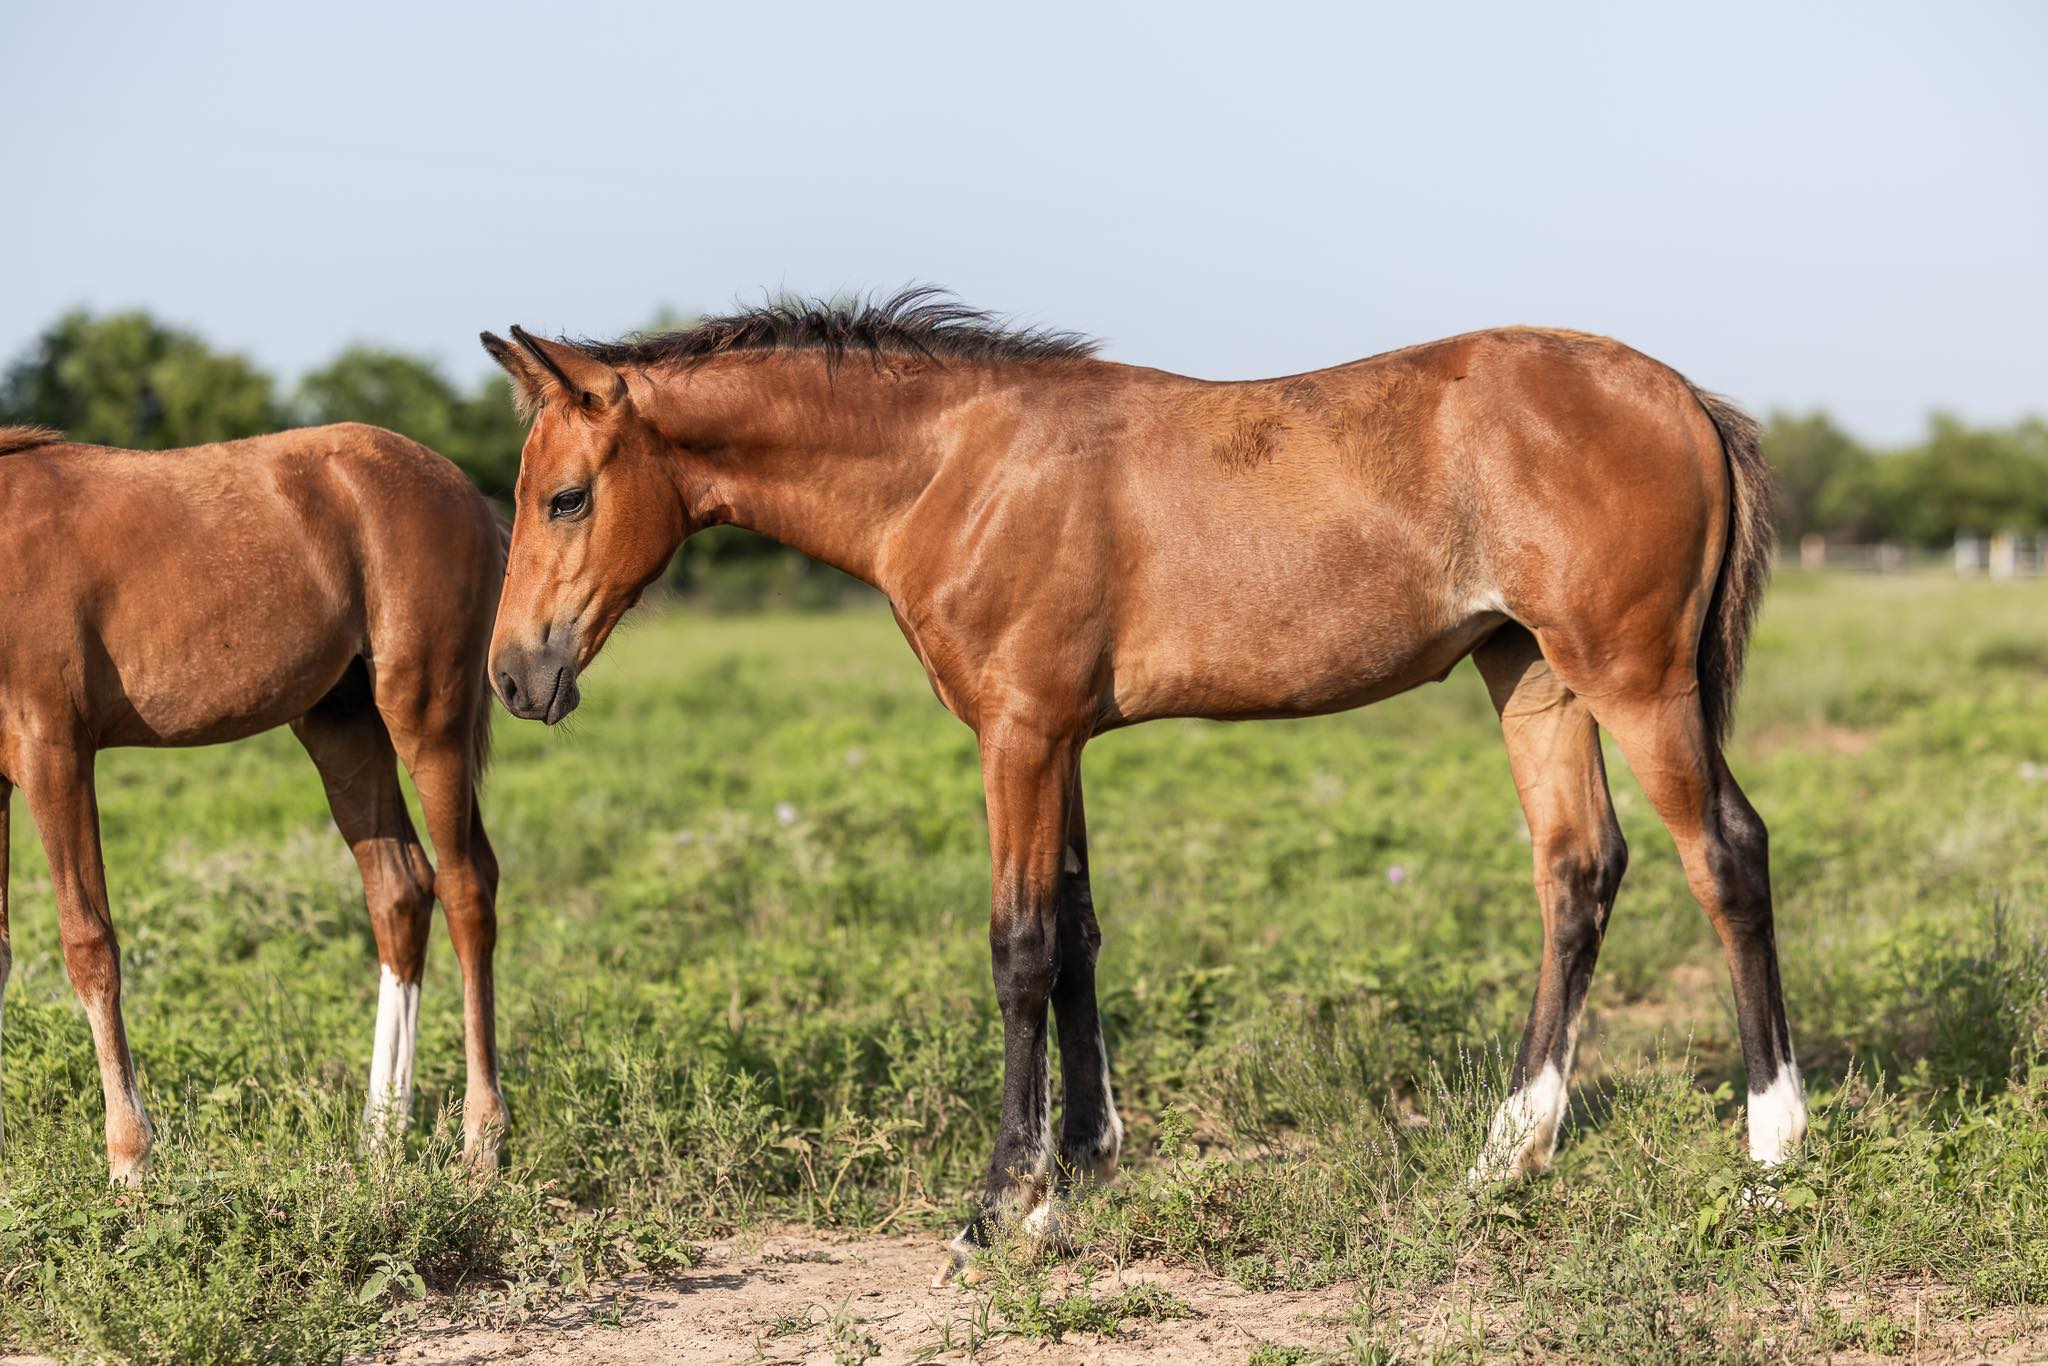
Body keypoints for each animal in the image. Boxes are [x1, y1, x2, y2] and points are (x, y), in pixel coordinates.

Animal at [0, 422, 508, 1181]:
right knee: (400, 890)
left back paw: (481, 1139)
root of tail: (465, 490)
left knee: (466, 889)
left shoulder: (53, 750)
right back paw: (380, 1135)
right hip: (344, 729)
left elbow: (88, 944)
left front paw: (131, 1157)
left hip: (428, 717)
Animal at [478, 289, 1804, 1277]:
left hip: (1632, 678)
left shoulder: (1016, 736)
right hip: (1529, 674)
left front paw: (994, 1210)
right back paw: (1505, 1156)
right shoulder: (1058, 739)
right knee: (1577, 870)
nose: (513, 676)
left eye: (565, 496)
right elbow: (1074, 937)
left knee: (1724, 853)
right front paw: (1074, 1178)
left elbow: (1017, 949)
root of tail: (1683, 396)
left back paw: (1770, 1152)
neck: (955, 467)